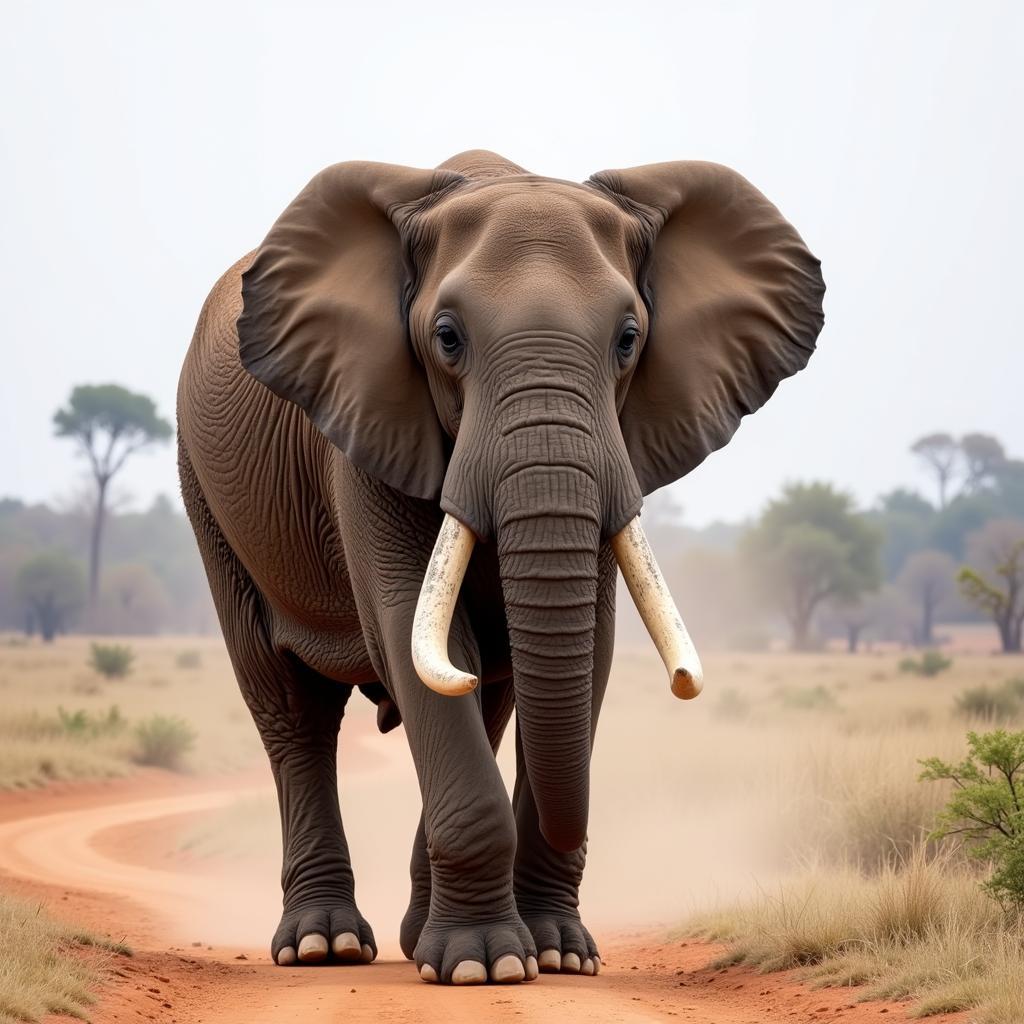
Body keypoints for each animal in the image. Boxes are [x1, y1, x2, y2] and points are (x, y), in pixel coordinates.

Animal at [178, 148, 823, 987]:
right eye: (447, 339)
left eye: (628, 339)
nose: (686, 682)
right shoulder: (367, 421)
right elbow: (410, 627)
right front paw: (484, 966)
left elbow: (581, 651)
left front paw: (558, 956)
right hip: (206, 494)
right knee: (293, 710)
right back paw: (325, 946)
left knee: (484, 699)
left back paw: (414, 934)